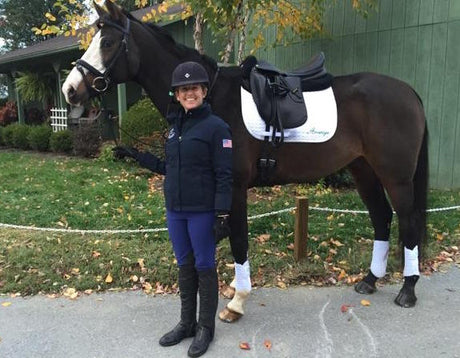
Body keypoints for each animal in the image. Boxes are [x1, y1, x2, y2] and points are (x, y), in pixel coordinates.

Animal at [62, 1, 428, 322]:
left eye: (107, 42)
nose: (69, 90)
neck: (209, 96)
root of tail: (409, 92)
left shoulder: (235, 189)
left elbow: (238, 240)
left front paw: (237, 302)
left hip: (395, 176)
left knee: (407, 221)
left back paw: (408, 290)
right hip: (363, 169)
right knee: (381, 218)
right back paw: (370, 279)